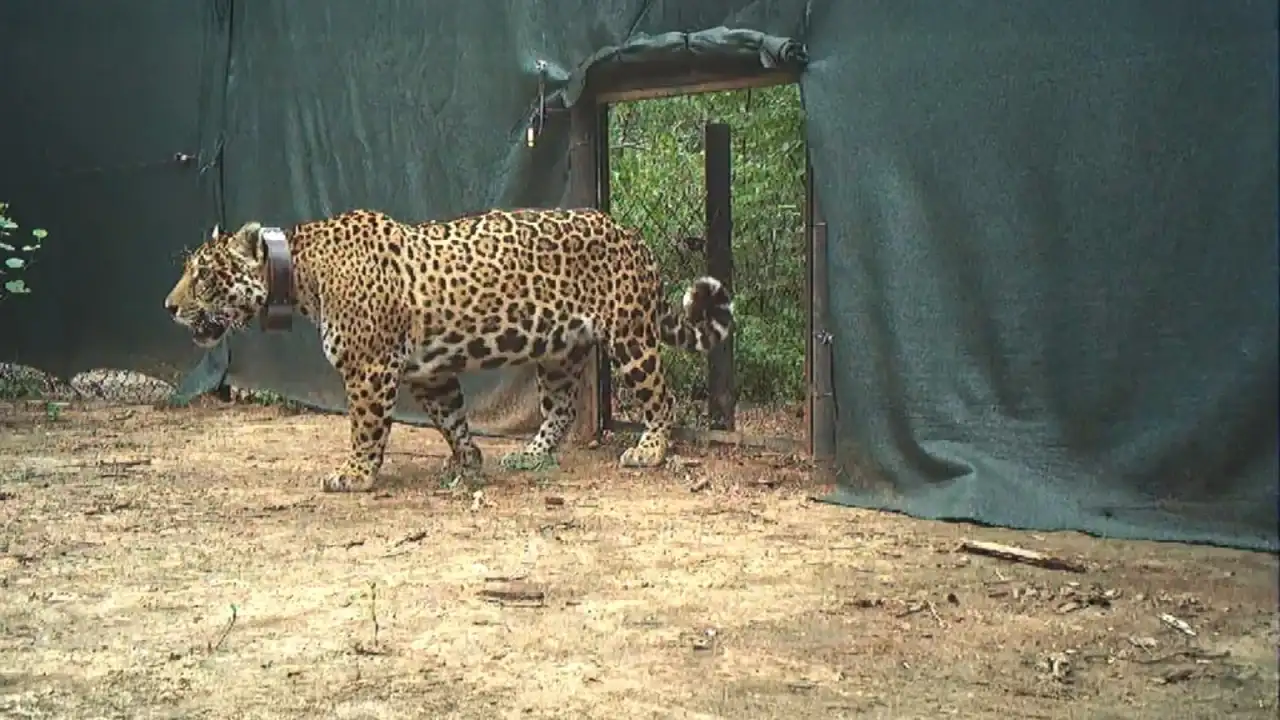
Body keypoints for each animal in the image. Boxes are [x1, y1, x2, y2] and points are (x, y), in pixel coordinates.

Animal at [163, 207, 733, 493]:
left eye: (202, 275)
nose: (168, 307)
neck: (299, 271)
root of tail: (634, 236)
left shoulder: (369, 369)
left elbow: (365, 429)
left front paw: (355, 475)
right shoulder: (427, 372)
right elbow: (451, 418)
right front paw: (469, 462)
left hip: (629, 335)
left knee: (662, 398)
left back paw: (650, 450)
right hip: (557, 350)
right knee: (562, 407)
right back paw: (530, 455)